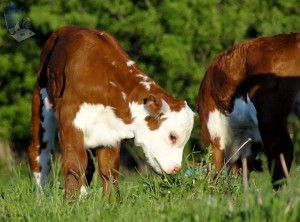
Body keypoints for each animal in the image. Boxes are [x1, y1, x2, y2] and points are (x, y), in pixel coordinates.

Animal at [28, 25, 195, 197]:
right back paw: (42, 198)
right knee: (39, 157)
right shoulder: (71, 122)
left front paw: (110, 201)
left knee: (89, 167)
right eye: (173, 136)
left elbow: (109, 169)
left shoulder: (111, 131)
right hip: (40, 107)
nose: (176, 168)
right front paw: (70, 201)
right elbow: (74, 165)